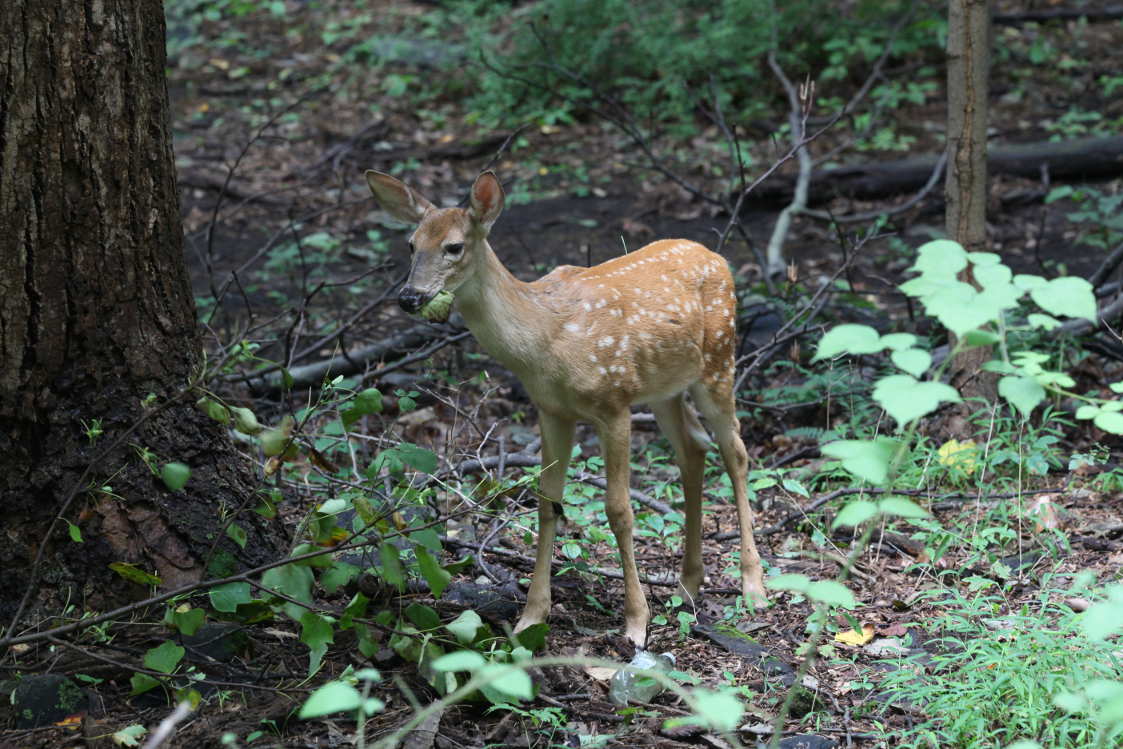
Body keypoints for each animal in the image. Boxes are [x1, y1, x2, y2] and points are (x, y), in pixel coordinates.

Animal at [363, 169, 768, 651]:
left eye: (454, 246)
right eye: (410, 244)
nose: (409, 297)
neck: (544, 341)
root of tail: (717, 257)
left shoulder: (613, 403)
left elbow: (619, 509)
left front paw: (636, 623)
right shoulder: (551, 410)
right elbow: (546, 503)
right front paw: (530, 617)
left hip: (719, 360)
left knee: (736, 452)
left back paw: (753, 586)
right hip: (664, 388)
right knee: (693, 449)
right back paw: (688, 583)